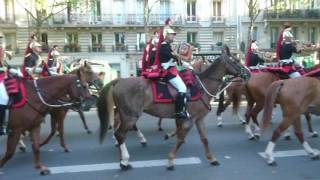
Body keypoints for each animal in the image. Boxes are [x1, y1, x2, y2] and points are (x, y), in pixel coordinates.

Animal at [96, 53, 244, 170]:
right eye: (236, 61)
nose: (246, 73)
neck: (201, 86)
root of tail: (119, 80)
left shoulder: (198, 118)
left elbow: (204, 139)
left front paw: (212, 158)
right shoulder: (189, 120)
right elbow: (181, 138)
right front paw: (170, 160)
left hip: (125, 114)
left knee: (119, 132)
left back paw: (122, 157)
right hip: (130, 116)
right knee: (120, 134)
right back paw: (125, 160)